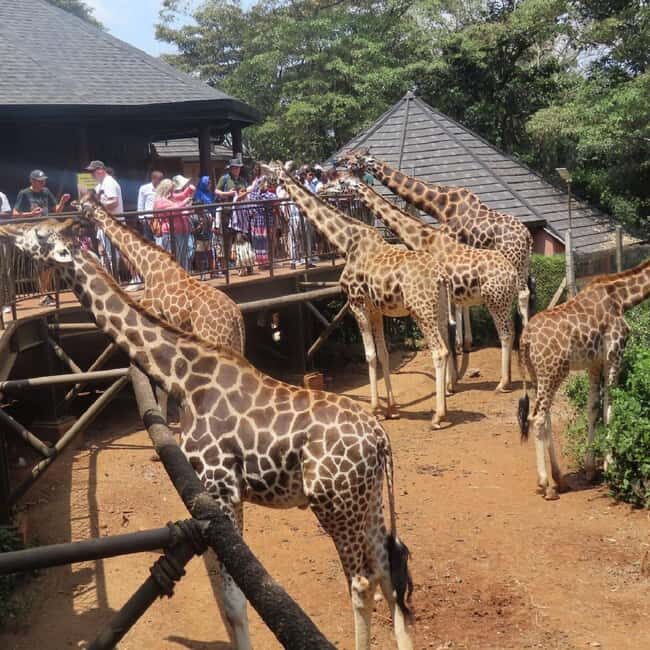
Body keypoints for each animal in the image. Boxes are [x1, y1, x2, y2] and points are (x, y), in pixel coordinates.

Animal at [0, 218, 415, 650]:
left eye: (41, 234)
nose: (9, 234)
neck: (184, 377)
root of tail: (381, 440)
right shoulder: (209, 501)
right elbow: (224, 601)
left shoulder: (220, 489)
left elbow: (233, 604)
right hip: (368, 500)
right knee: (389, 570)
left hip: (334, 502)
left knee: (362, 582)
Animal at [271, 161, 454, 428]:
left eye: (340, 181)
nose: (324, 187)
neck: (347, 244)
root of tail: (441, 275)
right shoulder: (375, 308)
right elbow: (384, 353)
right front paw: (391, 408)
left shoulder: (356, 303)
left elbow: (369, 354)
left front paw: (376, 408)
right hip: (438, 307)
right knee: (447, 345)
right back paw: (446, 405)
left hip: (421, 310)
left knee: (439, 351)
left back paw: (438, 416)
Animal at [340, 150, 534, 341]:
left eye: (356, 158)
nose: (339, 160)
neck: (440, 205)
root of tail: (527, 236)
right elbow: (460, 303)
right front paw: (466, 340)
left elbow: (455, 305)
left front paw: (460, 342)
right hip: (524, 263)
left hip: (513, 260)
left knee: (520, 295)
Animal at [350, 179, 520, 391]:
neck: (422, 239)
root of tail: (512, 272)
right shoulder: (448, 300)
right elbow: (449, 333)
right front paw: (451, 381)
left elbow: (448, 334)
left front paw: (449, 384)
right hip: (505, 299)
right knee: (514, 327)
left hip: (495, 300)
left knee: (505, 333)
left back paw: (503, 383)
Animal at [517, 259, 650, 500]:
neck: (621, 298)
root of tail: (526, 339)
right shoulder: (614, 355)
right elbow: (610, 408)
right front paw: (610, 465)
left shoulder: (594, 364)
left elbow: (593, 409)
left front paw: (590, 470)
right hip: (553, 371)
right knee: (538, 418)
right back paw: (545, 484)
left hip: (536, 375)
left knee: (545, 417)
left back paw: (560, 480)